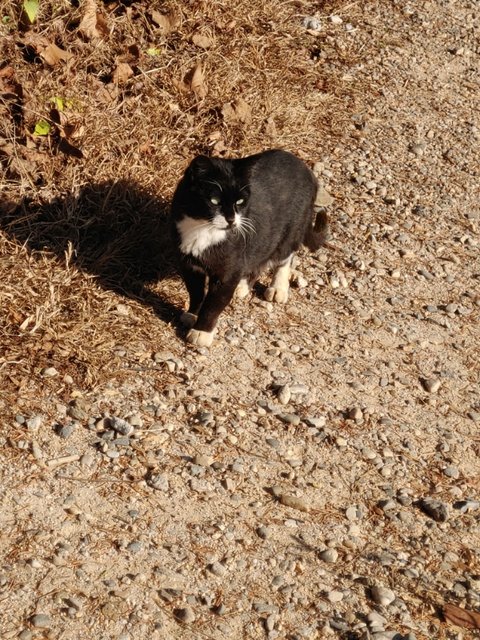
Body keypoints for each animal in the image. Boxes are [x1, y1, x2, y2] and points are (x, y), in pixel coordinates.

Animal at [170, 149, 328, 347]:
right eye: (214, 200)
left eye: (239, 201)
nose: (231, 220)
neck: (202, 229)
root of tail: (308, 171)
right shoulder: (188, 265)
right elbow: (196, 292)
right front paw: (191, 315)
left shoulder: (227, 271)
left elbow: (214, 303)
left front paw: (201, 333)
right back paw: (242, 286)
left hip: (291, 227)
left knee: (285, 255)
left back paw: (278, 287)